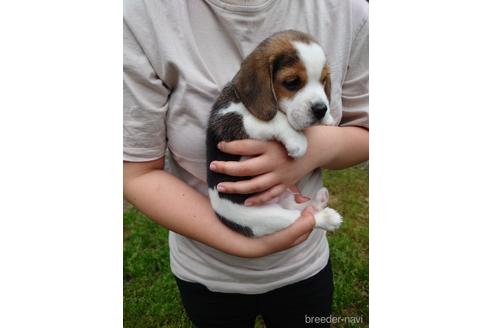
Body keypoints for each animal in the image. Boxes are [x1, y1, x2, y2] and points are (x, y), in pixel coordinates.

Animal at [206, 30, 340, 236]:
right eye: (292, 82)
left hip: (284, 200)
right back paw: (326, 218)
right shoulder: (226, 120)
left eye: (323, 80)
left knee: (300, 209)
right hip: (266, 218)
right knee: (300, 217)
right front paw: (298, 141)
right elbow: (274, 118)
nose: (321, 110)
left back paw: (321, 202)